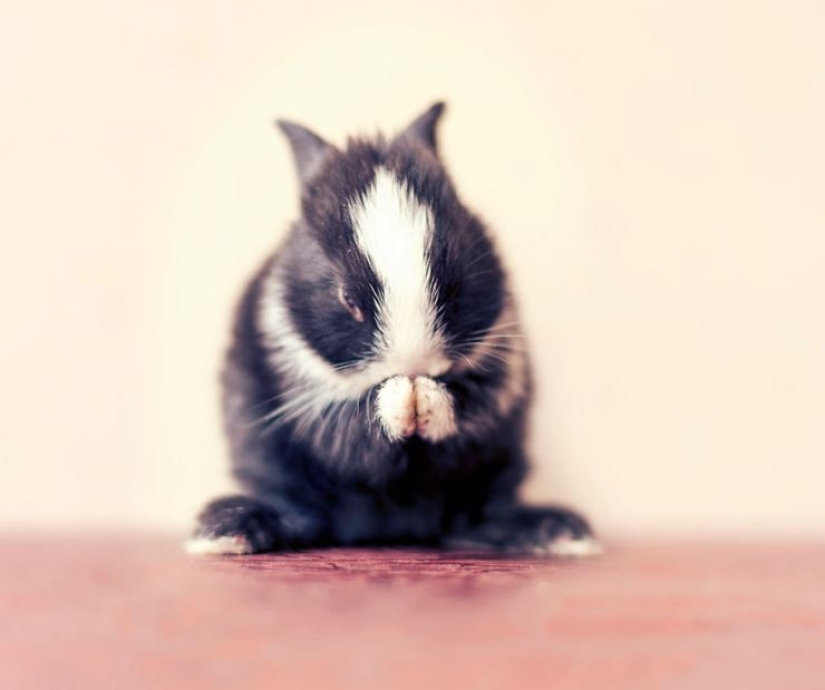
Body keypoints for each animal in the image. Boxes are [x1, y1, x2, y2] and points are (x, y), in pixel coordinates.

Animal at [185, 102, 600, 557]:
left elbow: (462, 412)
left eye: (454, 283)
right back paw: (228, 532)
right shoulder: (308, 396)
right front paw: (403, 399)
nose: (414, 363)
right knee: (301, 514)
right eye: (348, 299)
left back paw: (557, 533)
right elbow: (358, 434)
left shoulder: (497, 380)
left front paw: (424, 399)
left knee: (478, 518)